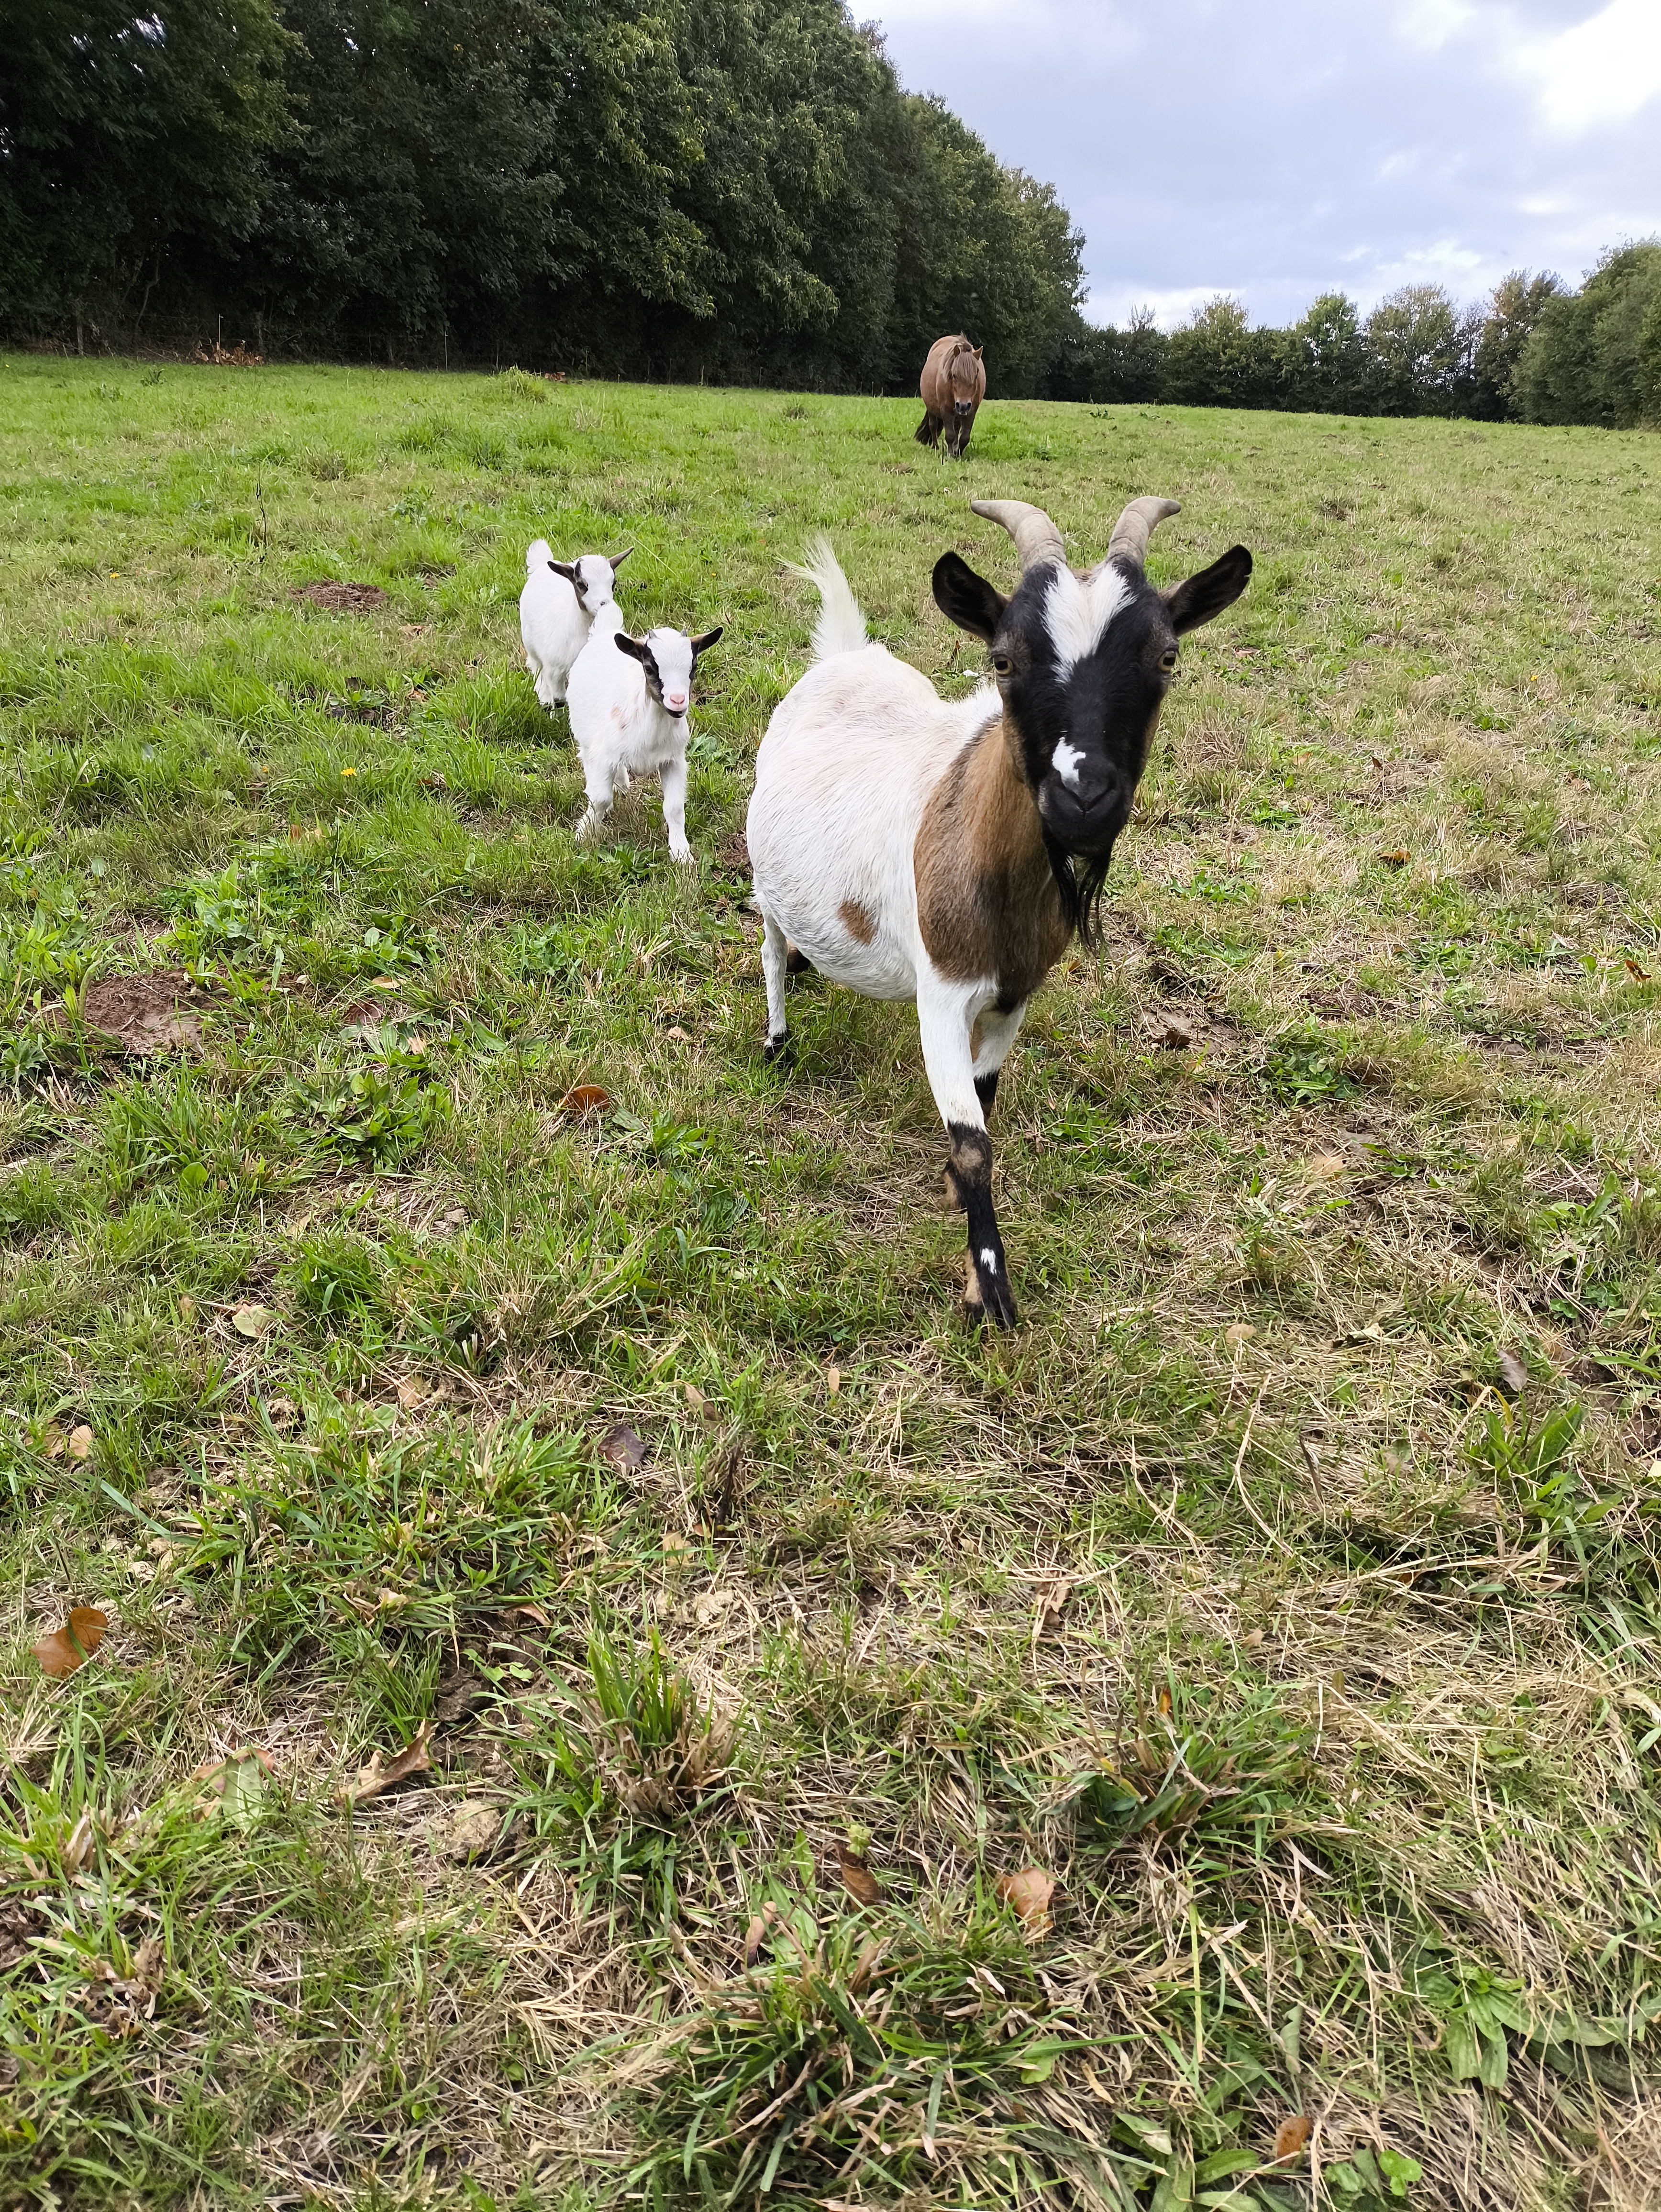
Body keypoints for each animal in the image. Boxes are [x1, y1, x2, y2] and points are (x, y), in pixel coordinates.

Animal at [519, 540, 630, 708]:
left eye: (613, 583)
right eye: (581, 584)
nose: (604, 604)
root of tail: (541, 565)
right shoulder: (555, 671)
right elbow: (559, 699)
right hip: (530, 645)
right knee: (537, 668)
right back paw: (544, 698)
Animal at [565, 592, 723, 862]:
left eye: (693, 667)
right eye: (649, 667)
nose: (677, 701)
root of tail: (605, 633)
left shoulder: (673, 760)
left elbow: (674, 808)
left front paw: (682, 855)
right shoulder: (603, 756)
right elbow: (600, 799)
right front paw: (583, 835)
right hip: (586, 736)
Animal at [746, 498, 1251, 1326]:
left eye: (1168, 658)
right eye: (1005, 659)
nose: (1084, 800)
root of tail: (845, 656)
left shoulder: (1016, 992)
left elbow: (985, 1102)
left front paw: (958, 1207)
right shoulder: (941, 995)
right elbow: (972, 1140)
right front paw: (991, 1292)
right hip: (767, 881)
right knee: (767, 951)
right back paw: (778, 1037)